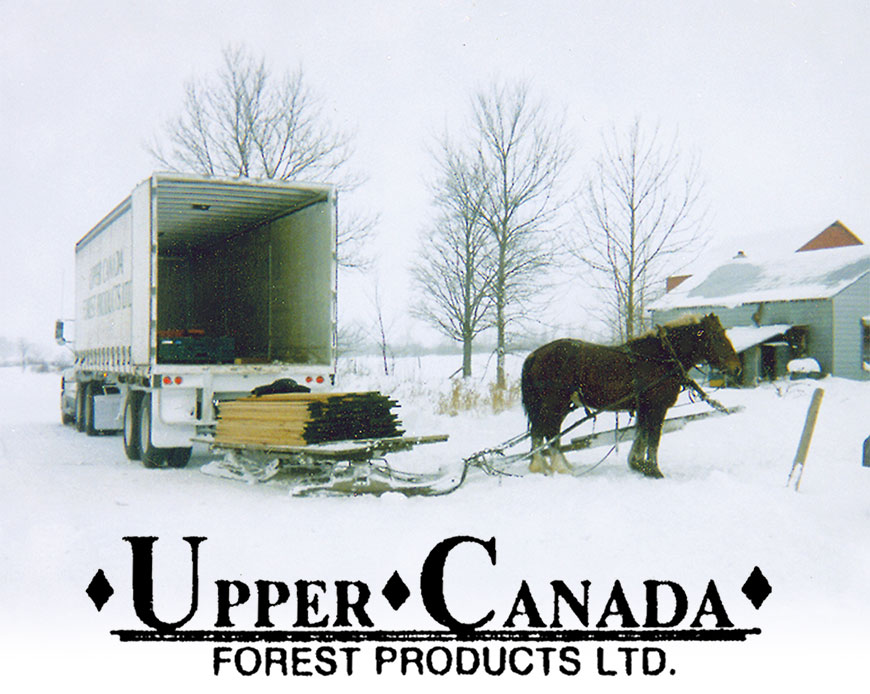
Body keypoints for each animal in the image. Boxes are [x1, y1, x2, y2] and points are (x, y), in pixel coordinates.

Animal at [520, 314, 740, 478]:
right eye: (717, 336)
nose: (736, 368)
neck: (662, 357)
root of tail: (535, 354)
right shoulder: (657, 407)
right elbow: (653, 439)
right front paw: (654, 470)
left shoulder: (644, 407)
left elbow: (641, 435)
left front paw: (638, 465)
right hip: (555, 403)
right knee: (549, 432)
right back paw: (559, 467)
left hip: (556, 405)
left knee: (540, 431)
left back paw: (545, 465)